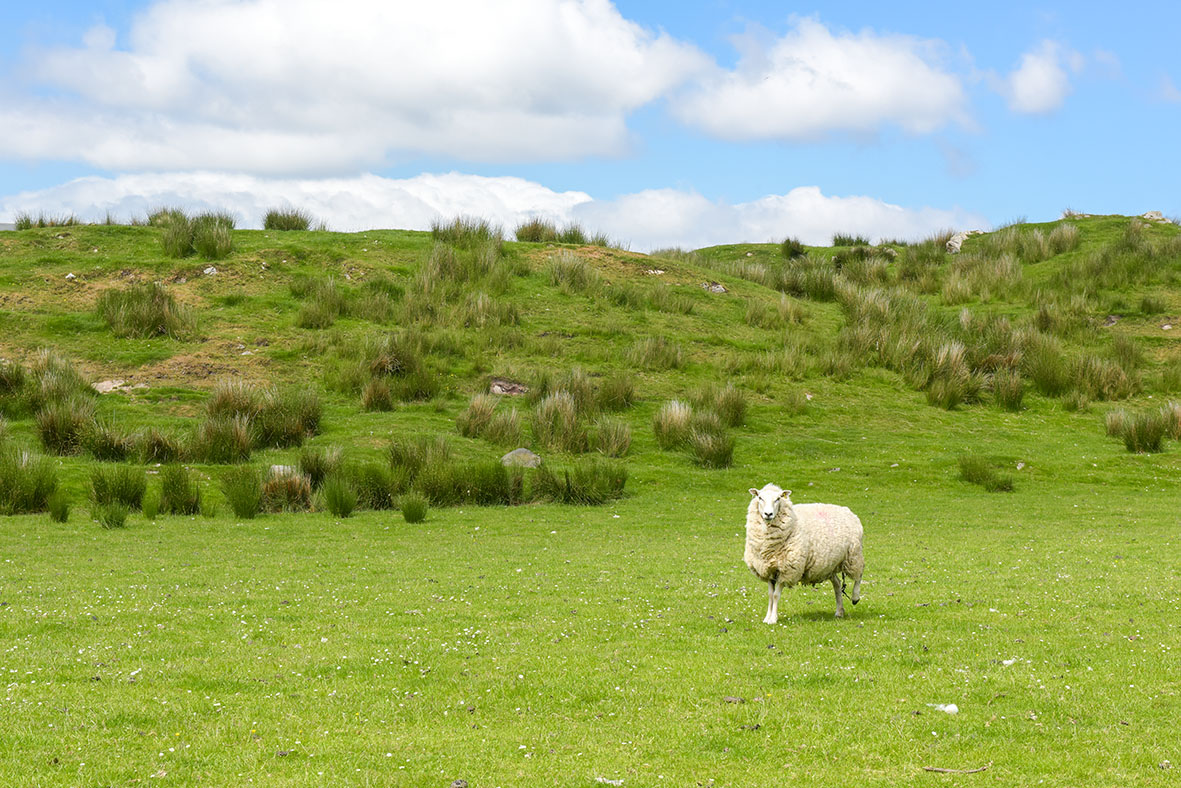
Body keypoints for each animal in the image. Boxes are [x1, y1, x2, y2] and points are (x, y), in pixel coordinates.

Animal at [741, 482, 864, 623]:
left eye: (778, 499)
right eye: (760, 497)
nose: (768, 514)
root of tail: (847, 511)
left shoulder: (787, 569)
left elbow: (776, 595)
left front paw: (773, 619)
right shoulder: (769, 570)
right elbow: (771, 595)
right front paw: (767, 618)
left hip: (853, 555)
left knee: (859, 575)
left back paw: (855, 597)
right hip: (830, 564)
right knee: (838, 584)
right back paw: (839, 611)